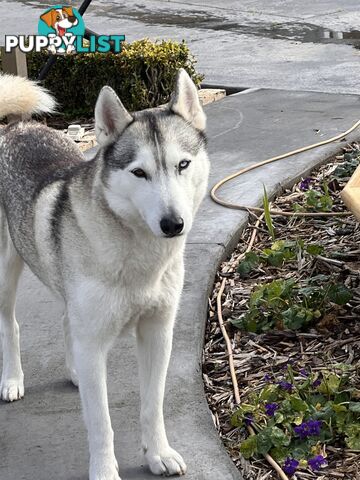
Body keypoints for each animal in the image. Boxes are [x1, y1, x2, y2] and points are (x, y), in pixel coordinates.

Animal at [0, 71, 208, 480]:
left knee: (67, 320)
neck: (137, 254)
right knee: (11, 324)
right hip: (4, 272)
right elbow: (100, 424)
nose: (173, 224)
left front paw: (157, 453)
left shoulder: (157, 334)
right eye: (139, 173)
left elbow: (152, 405)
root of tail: (17, 126)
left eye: (183, 165)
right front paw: (104, 470)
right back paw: (13, 380)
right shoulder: (95, 345)